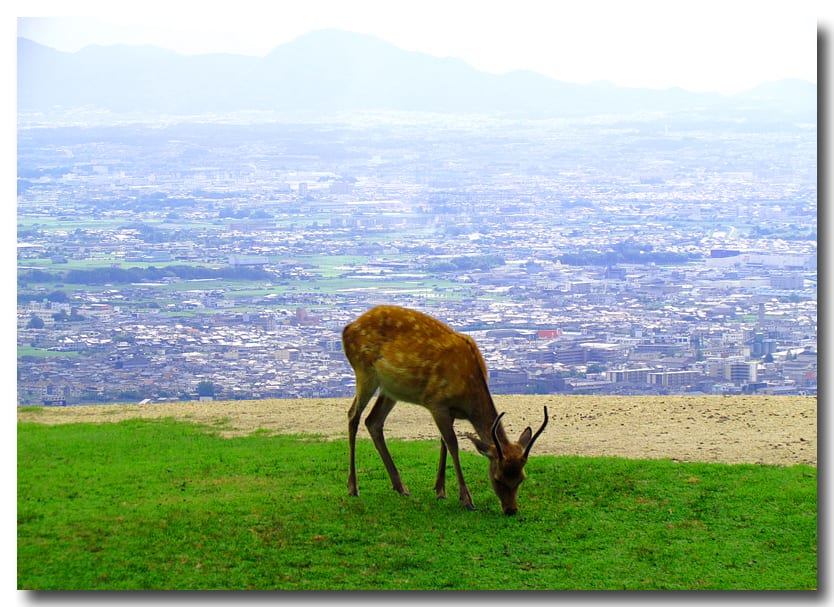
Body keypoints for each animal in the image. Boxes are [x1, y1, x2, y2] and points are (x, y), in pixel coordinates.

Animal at [340, 306, 544, 516]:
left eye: (521, 478)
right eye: (497, 478)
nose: (511, 509)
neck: (467, 395)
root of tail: (347, 328)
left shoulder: (449, 411)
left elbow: (443, 442)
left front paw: (440, 490)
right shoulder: (436, 403)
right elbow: (453, 444)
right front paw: (466, 499)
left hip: (390, 389)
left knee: (373, 421)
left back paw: (401, 487)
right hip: (365, 372)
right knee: (353, 415)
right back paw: (353, 487)